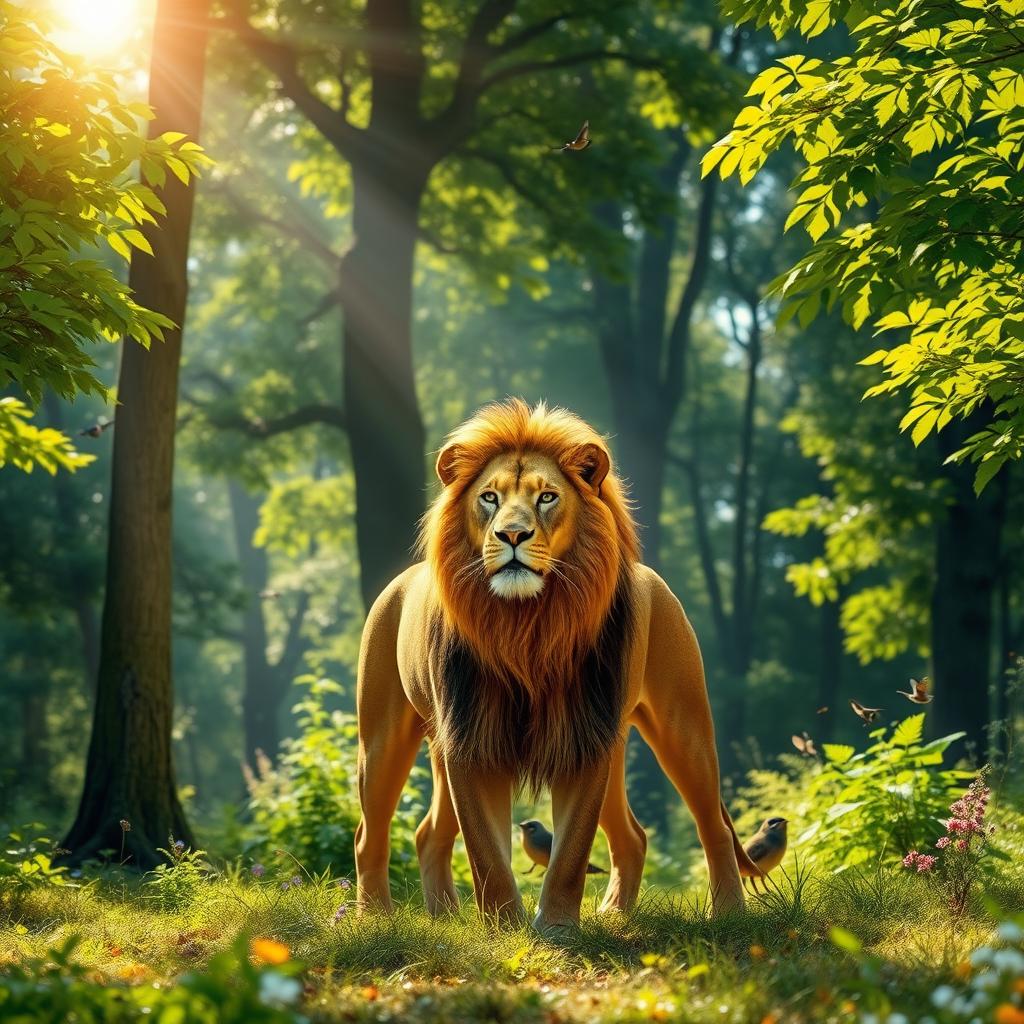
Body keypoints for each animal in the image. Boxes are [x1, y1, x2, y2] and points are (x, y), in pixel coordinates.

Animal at [354, 399, 756, 929]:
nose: (512, 534)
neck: (528, 624)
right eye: (489, 498)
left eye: (546, 497)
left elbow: (571, 851)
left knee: (707, 826)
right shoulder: (471, 739)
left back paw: (724, 913)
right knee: (376, 834)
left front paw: (558, 928)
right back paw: (382, 917)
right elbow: (486, 850)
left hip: (681, 726)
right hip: (384, 737)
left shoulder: (584, 737)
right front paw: (505, 926)